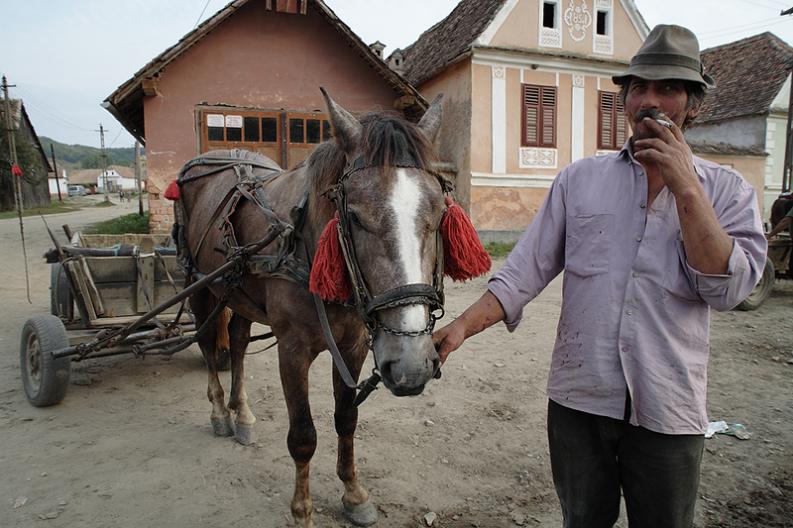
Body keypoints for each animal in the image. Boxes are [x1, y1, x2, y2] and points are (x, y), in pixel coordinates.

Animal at [177, 88, 448, 524]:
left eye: (439, 213)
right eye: (353, 215)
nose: (412, 365)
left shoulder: (353, 347)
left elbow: (347, 419)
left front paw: (354, 494)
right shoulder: (292, 350)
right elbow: (303, 435)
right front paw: (302, 510)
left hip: (240, 295)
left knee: (237, 344)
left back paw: (242, 415)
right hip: (200, 286)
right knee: (207, 343)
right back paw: (220, 413)